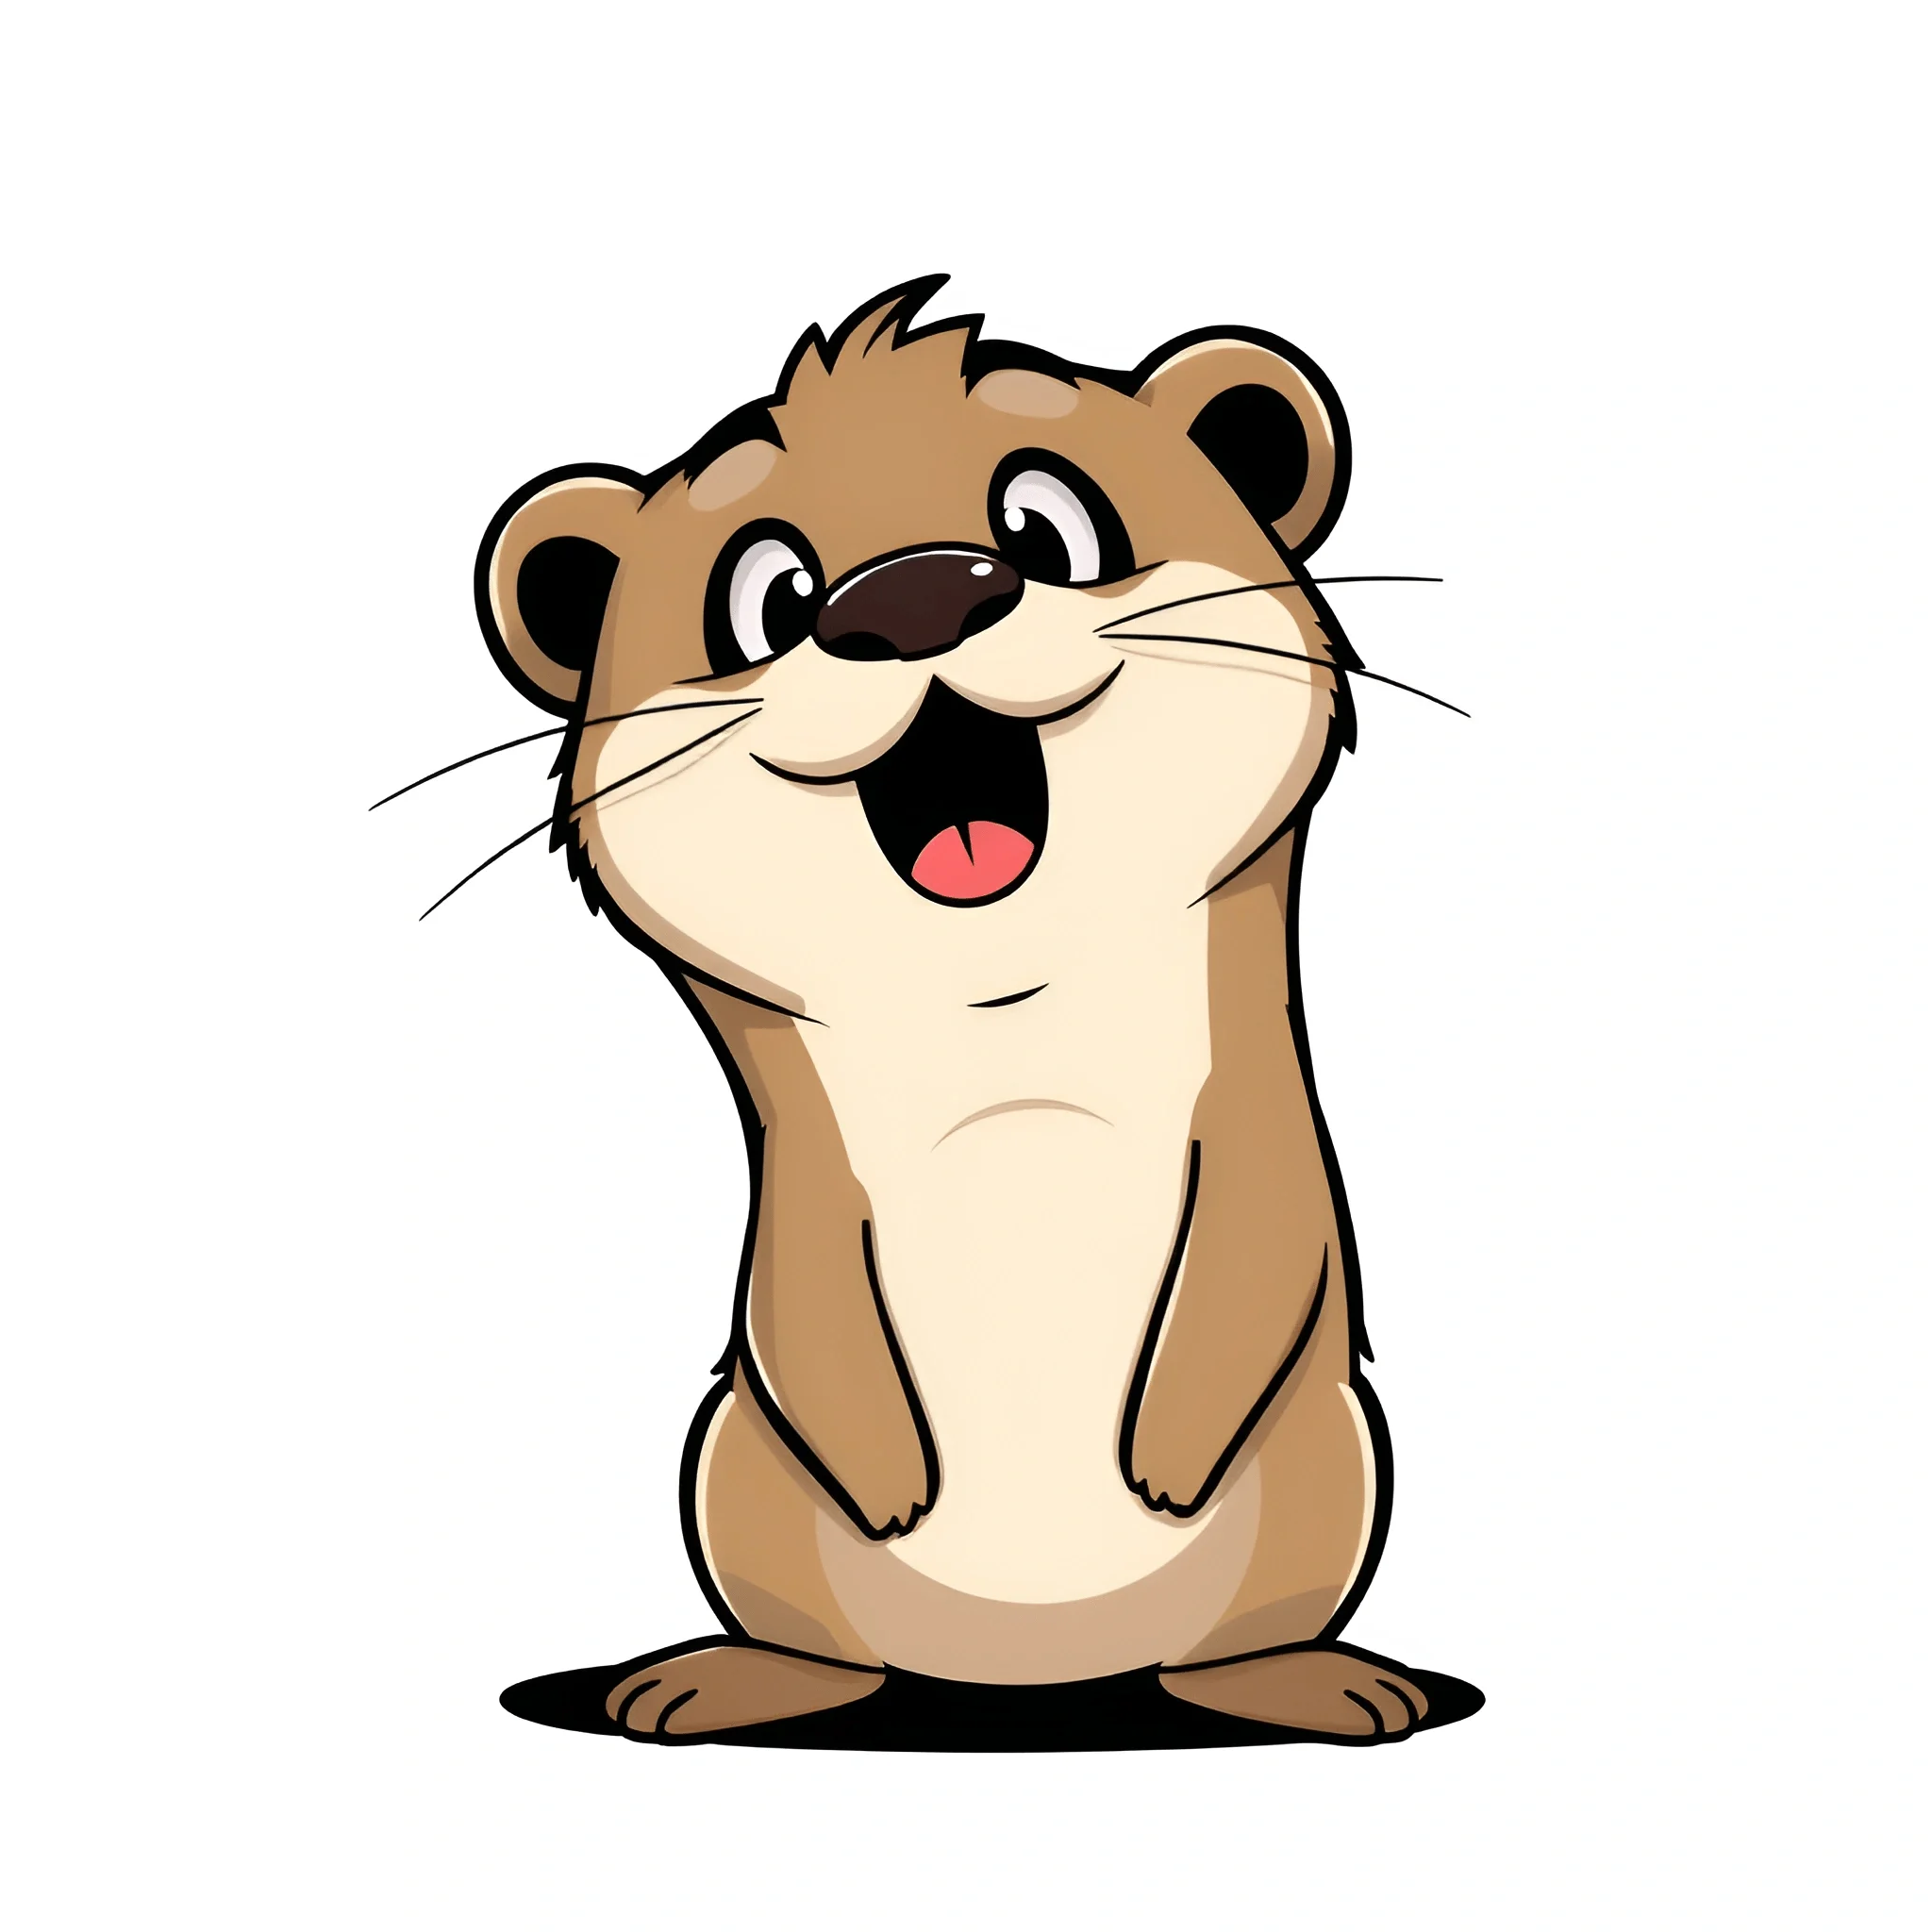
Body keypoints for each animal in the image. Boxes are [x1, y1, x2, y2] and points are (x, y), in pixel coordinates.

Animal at [466, 278, 1474, 1745]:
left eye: (1046, 520)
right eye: (767, 594)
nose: (915, 590)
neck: (1003, 1007)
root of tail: (1030, 1673)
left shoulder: (1250, 1116)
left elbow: (1263, 1242)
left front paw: (1165, 1459)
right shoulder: (810, 1191)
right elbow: (807, 1313)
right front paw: (893, 1485)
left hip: (1326, 1473)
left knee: (1245, 1634)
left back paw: (1310, 1679)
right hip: (739, 1477)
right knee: (814, 1638)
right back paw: (725, 1677)